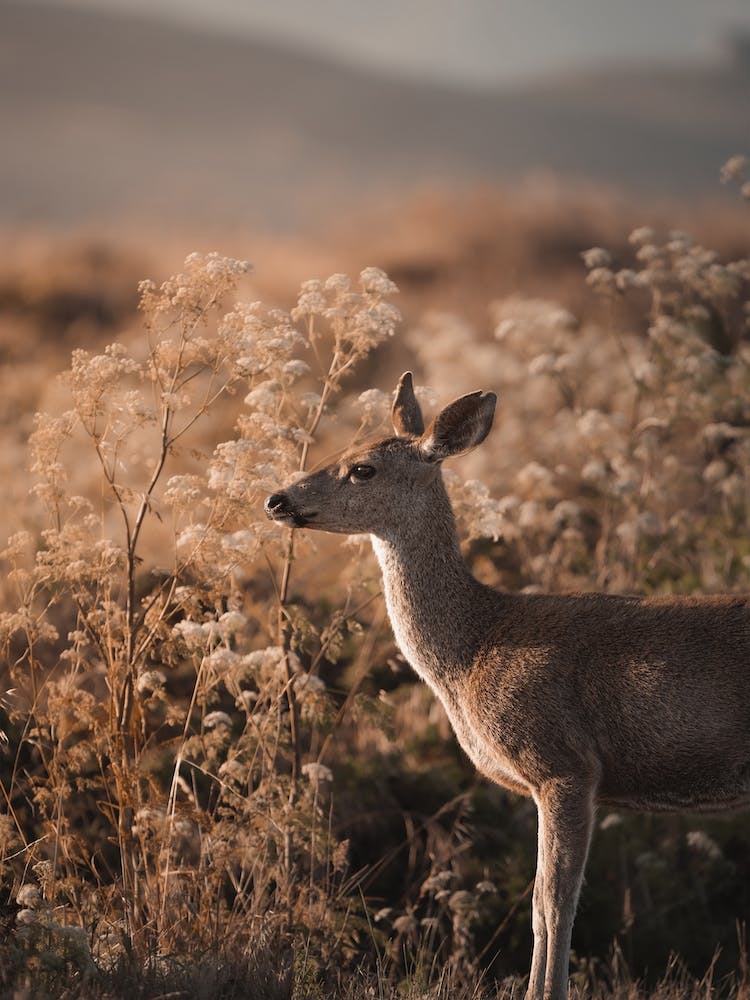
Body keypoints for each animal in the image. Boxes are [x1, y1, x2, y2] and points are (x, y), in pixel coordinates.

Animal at [264, 372, 750, 1000]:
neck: (472, 650)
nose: (277, 499)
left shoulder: (564, 764)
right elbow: (543, 905)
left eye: (363, 468)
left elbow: (553, 905)